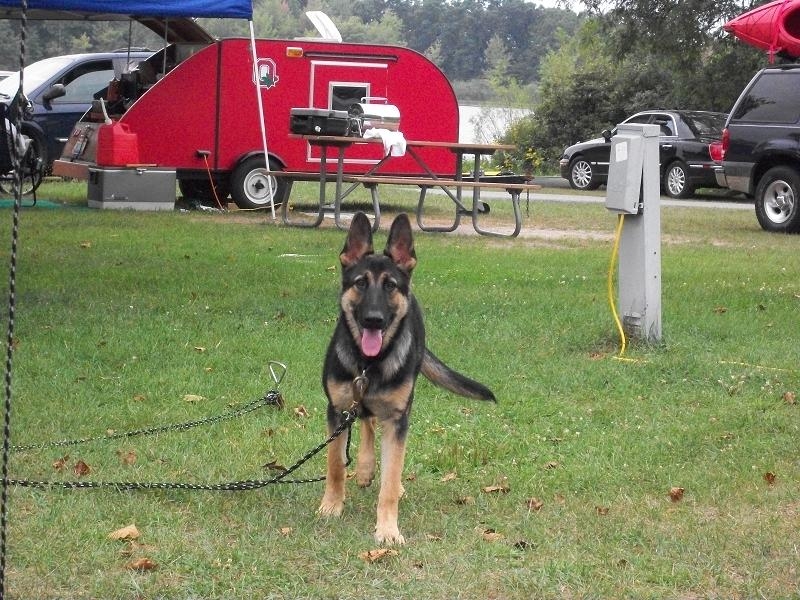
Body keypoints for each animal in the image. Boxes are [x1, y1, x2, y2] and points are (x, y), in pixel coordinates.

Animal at [318, 211, 494, 544]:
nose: (374, 320)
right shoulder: (337, 411)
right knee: (367, 421)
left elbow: (390, 479)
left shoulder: (399, 419)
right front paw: (331, 506)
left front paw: (388, 529)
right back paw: (365, 468)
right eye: (360, 283)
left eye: (390, 286)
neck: (369, 364)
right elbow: (335, 464)